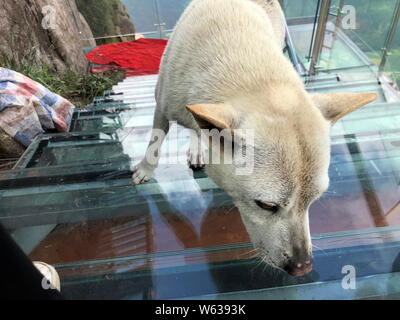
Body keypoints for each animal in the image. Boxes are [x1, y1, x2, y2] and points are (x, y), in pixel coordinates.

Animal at [133, 0, 376, 276]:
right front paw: (145, 169)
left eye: (313, 201)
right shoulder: (163, 107)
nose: (302, 267)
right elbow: (155, 141)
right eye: (266, 205)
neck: (251, 76)